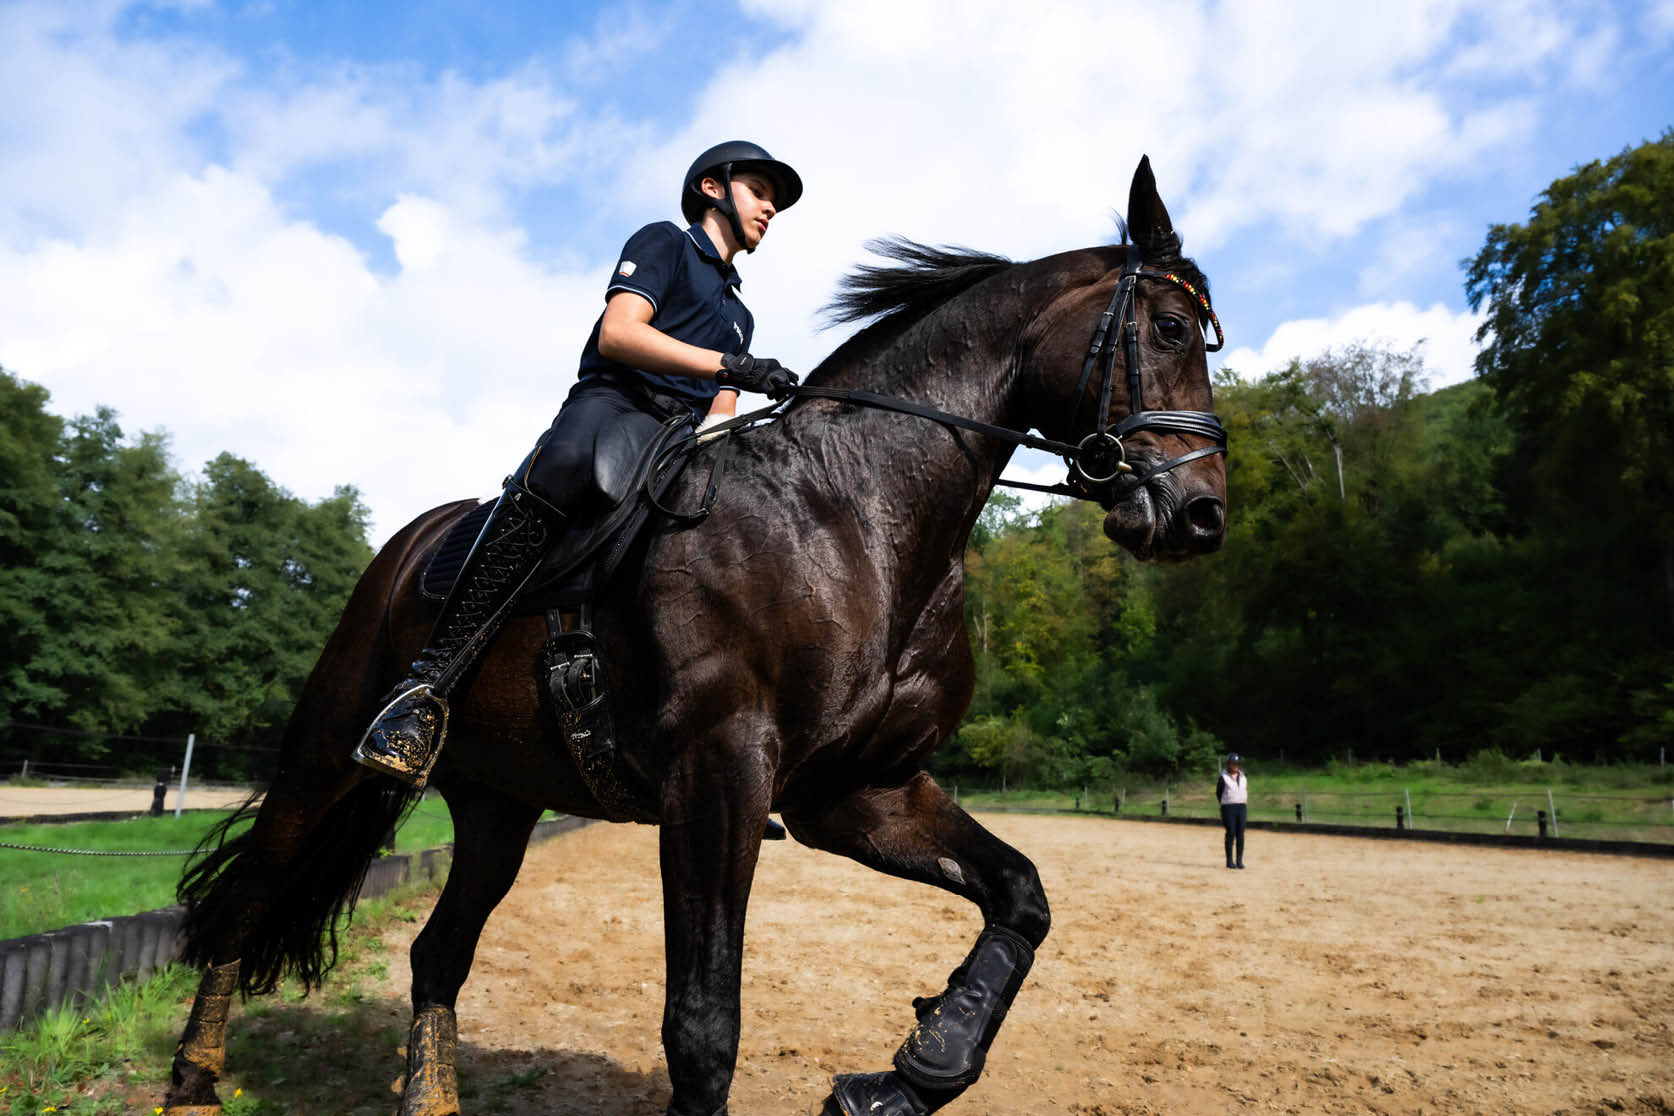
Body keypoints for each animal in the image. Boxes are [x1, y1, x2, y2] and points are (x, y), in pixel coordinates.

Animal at [162, 156, 1228, 1116]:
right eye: (1172, 328)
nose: (1203, 517)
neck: (854, 513)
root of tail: (406, 544)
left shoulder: (858, 791)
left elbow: (1020, 894)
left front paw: (911, 1074)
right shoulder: (718, 776)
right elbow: (704, 1027)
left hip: (500, 804)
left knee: (438, 952)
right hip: (324, 756)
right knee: (246, 900)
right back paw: (194, 1082)